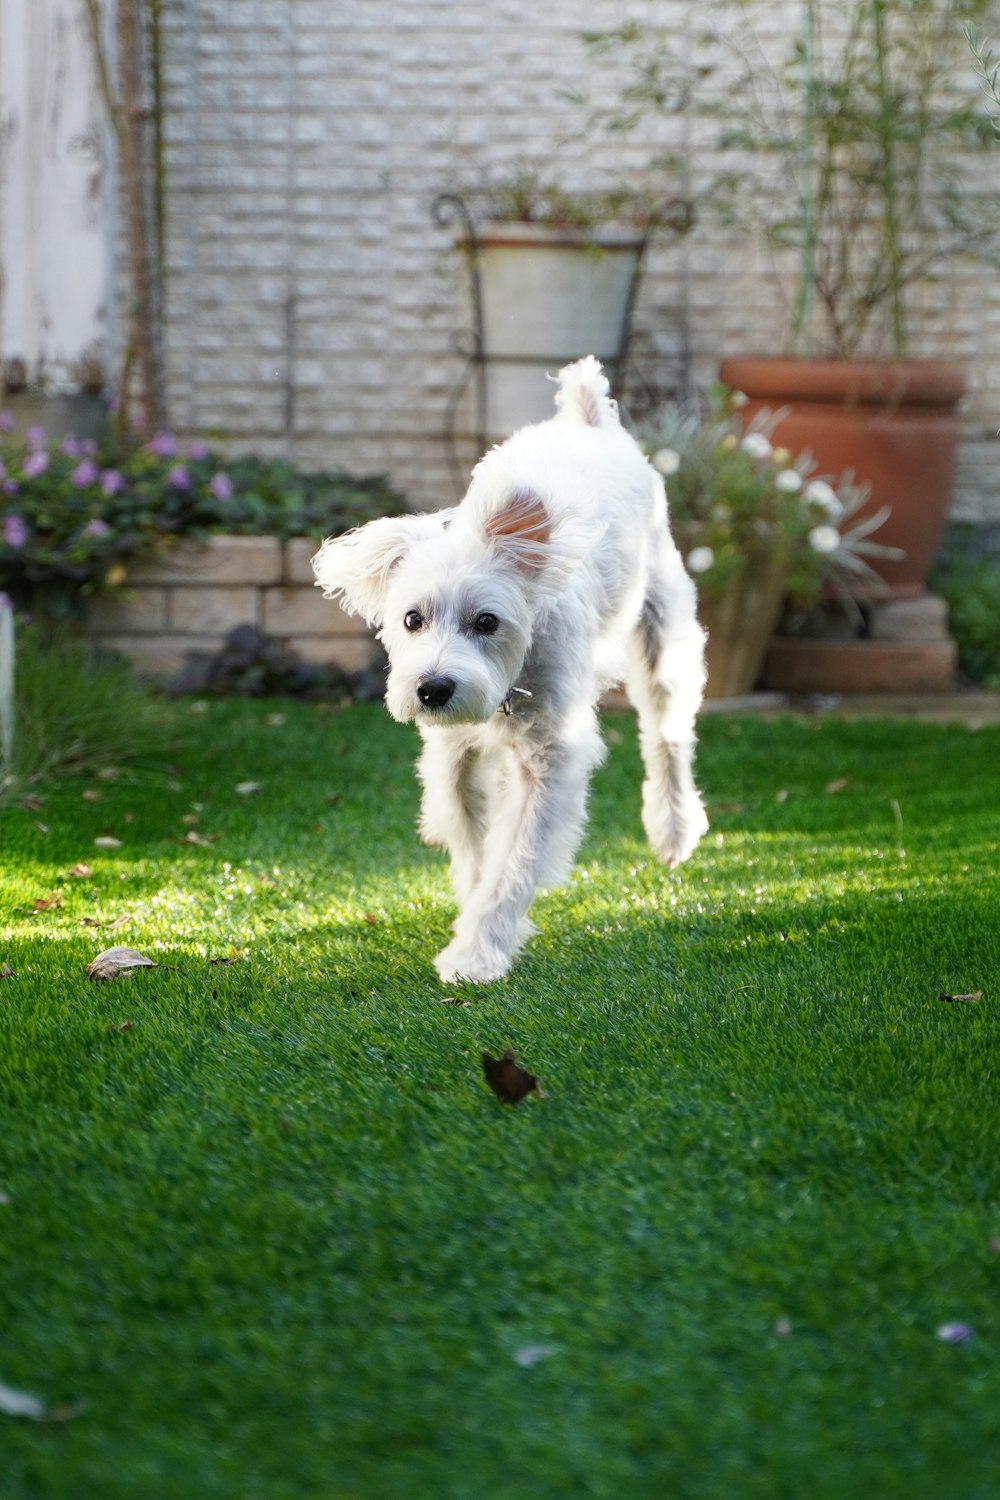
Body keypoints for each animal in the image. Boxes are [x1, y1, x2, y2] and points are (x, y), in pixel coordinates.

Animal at [313, 355, 710, 978]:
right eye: (411, 619)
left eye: (487, 621)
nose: (433, 689)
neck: (508, 685)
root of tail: (587, 418)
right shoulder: (452, 753)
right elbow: (473, 842)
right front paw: (472, 905)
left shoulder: (551, 757)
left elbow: (513, 860)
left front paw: (476, 953)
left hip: (663, 640)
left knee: (668, 740)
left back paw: (673, 831)